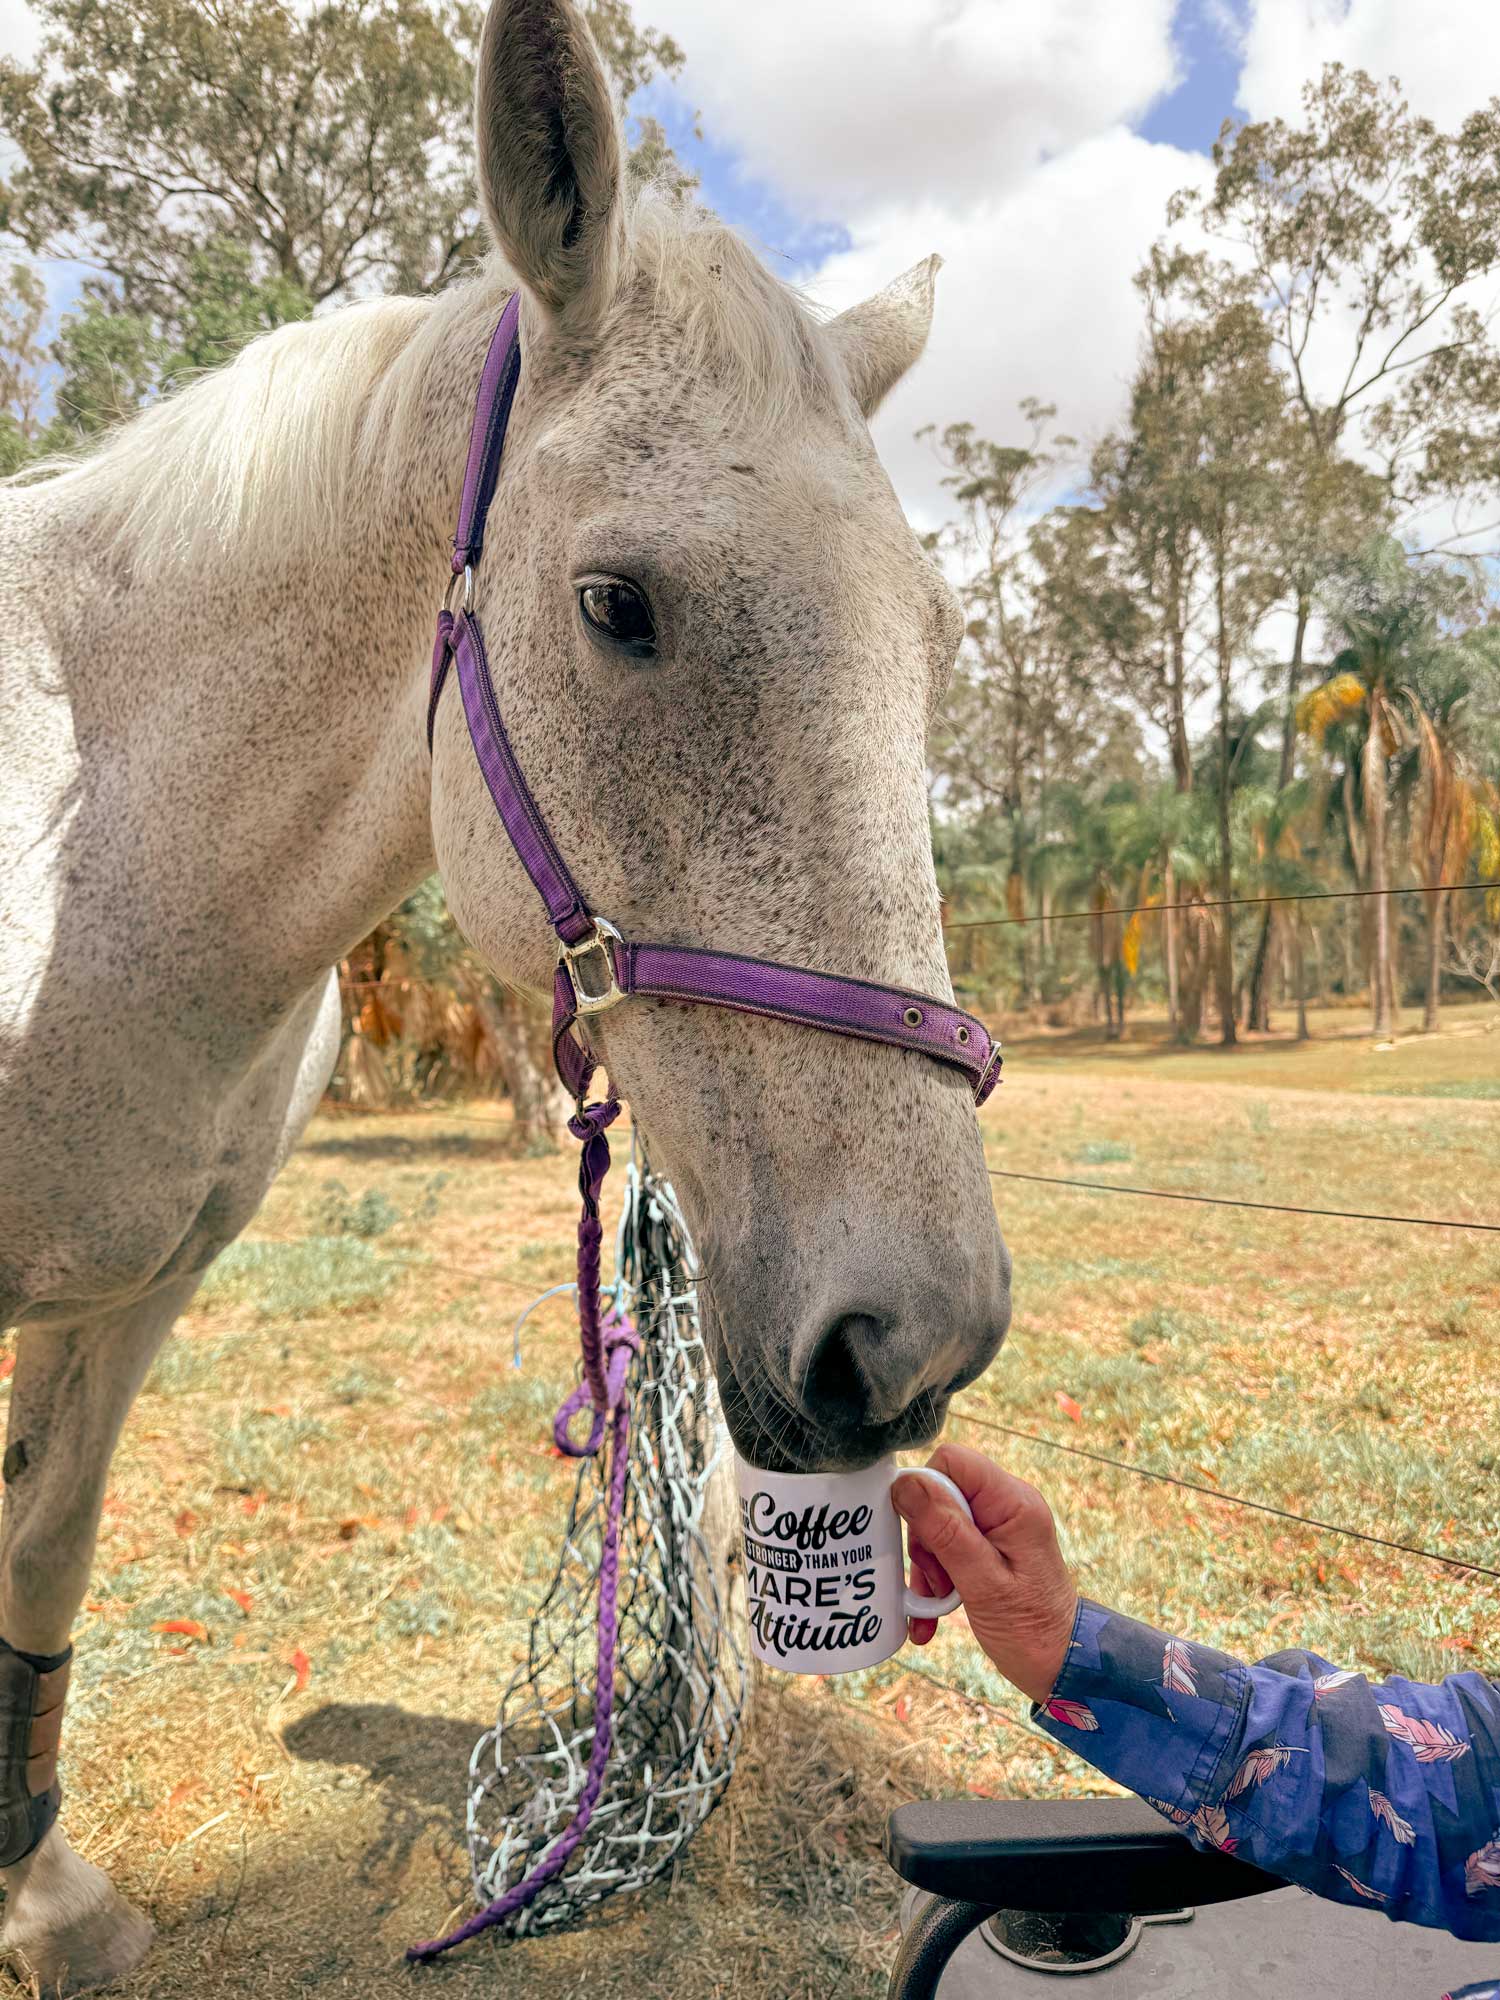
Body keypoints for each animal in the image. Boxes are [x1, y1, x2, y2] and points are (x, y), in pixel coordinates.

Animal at [0, 0, 1011, 1984]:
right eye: (618, 603)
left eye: (932, 646)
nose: (917, 1334)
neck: (99, 861)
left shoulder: (128, 1299)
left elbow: (36, 1578)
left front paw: (42, 1897)